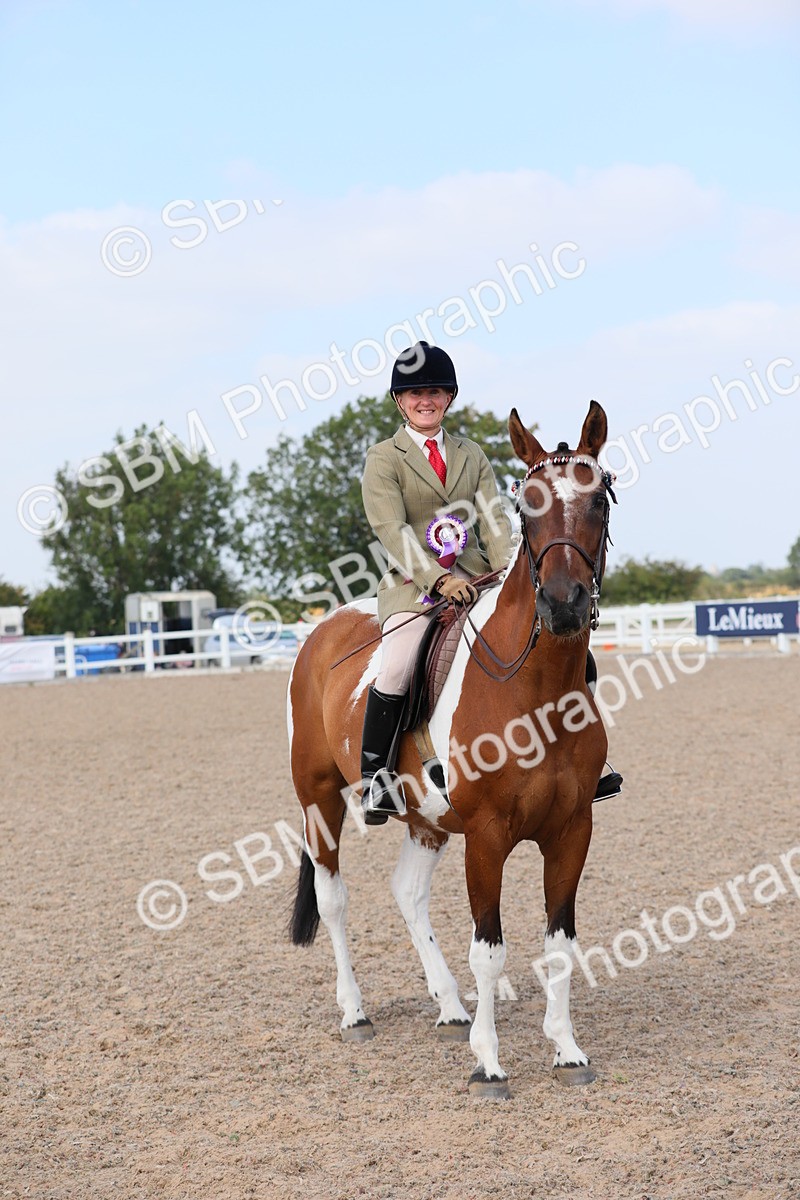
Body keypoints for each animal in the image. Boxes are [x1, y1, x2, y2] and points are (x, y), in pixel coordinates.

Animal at [287, 402, 615, 1098]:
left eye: (598, 499)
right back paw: (355, 1013)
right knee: (334, 898)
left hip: (428, 818)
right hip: (319, 799)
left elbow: (559, 942)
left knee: (408, 893)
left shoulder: (573, 829)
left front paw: (567, 1051)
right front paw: (488, 1064)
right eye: (527, 508)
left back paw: (449, 1006)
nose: (563, 605)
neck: (535, 685)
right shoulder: (487, 836)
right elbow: (488, 949)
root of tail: (326, 625)